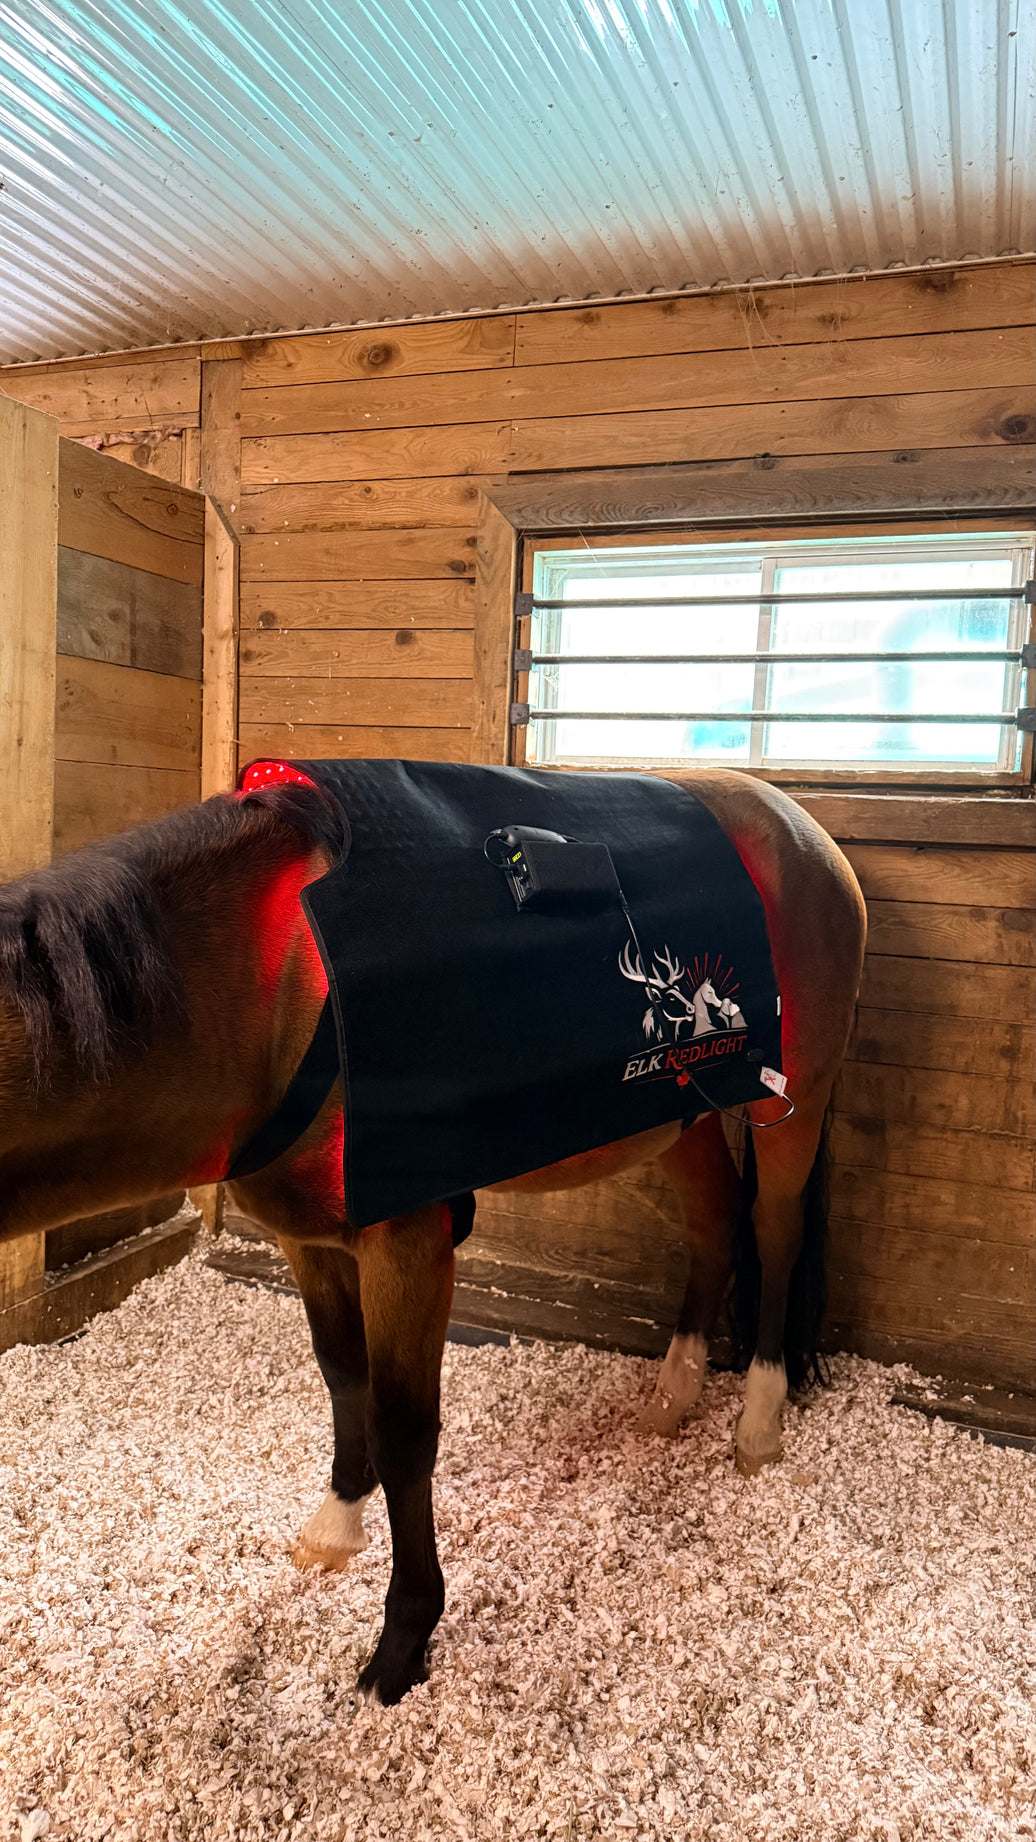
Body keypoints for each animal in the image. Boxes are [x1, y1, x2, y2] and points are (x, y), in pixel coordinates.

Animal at [0, 766, 866, 1705]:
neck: (276, 988)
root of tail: (800, 825)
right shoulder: (310, 1243)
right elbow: (343, 1380)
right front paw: (338, 1525)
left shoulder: (406, 1246)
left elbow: (405, 1429)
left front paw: (404, 1638)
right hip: (679, 1109)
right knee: (713, 1225)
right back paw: (674, 1393)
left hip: (792, 1096)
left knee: (772, 1235)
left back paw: (759, 1422)